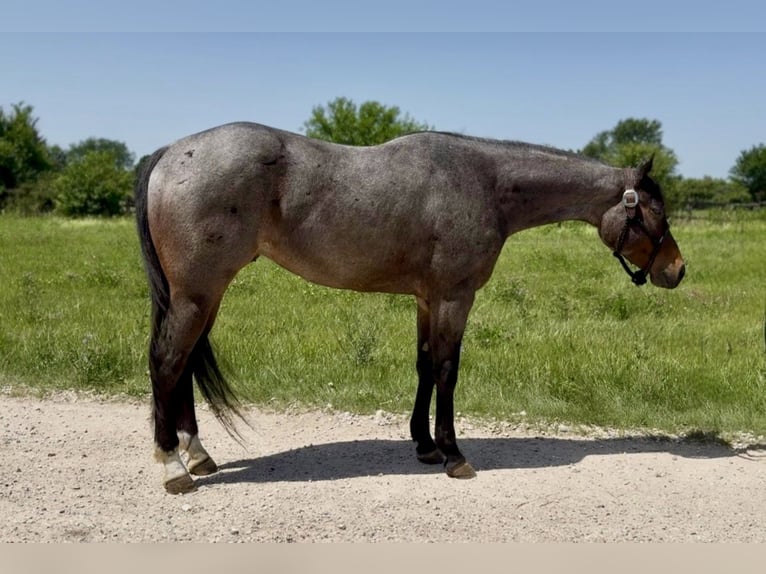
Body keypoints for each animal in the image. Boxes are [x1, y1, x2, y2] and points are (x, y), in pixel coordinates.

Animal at [134, 122, 685, 493]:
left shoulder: (427, 299)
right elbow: (446, 370)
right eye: (656, 213)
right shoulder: (455, 296)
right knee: (166, 363)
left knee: (183, 365)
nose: (677, 270)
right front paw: (454, 454)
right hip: (197, 293)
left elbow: (423, 366)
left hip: (203, 297)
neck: (484, 182)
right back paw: (173, 466)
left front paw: (424, 445)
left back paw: (197, 454)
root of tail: (170, 153)